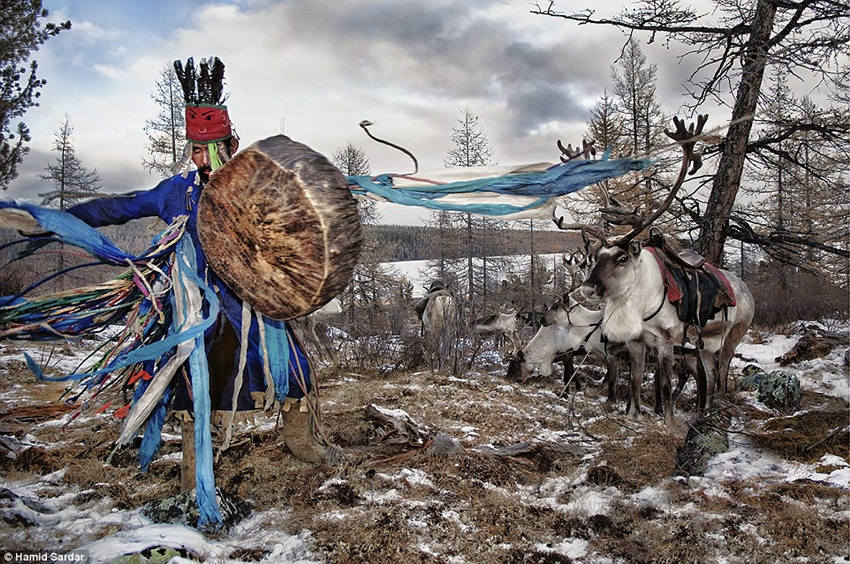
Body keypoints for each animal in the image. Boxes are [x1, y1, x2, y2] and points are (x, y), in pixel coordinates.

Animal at [554, 115, 755, 420]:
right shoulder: (636, 344)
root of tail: (747, 290)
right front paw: (632, 414)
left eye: (622, 258)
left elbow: (663, 384)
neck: (641, 307)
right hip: (703, 348)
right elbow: (635, 382)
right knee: (707, 379)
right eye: (597, 255)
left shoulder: (666, 341)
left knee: (720, 375)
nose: (587, 288)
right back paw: (703, 411)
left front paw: (667, 417)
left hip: (732, 336)